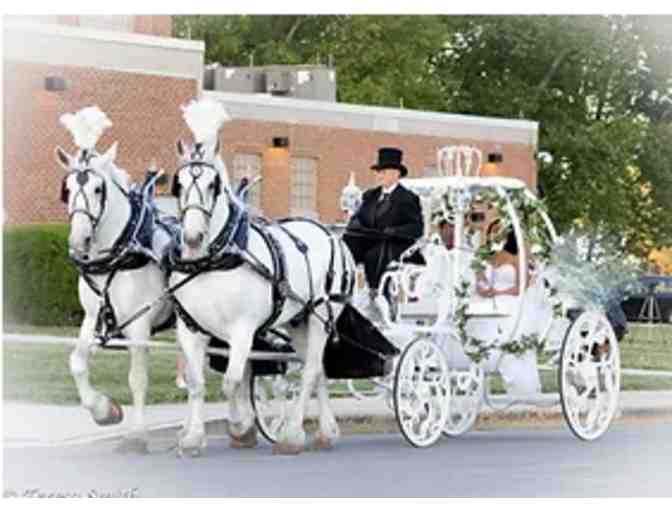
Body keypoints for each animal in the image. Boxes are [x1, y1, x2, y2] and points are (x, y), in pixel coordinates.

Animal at [55, 141, 173, 448]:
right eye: (67, 189)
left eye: (98, 189)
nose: (79, 239)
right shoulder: (92, 317)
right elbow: (77, 363)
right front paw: (104, 410)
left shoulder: (139, 324)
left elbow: (138, 378)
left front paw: (137, 434)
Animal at [171, 138, 354, 454]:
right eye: (179, 183)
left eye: (212, 184)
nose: (193, 238)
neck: (213, 262)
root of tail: (332, 235)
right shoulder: (191, 329)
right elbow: (197, 384)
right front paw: (193, 437)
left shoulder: (242, 329)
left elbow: (231, 382)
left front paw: (240, 426)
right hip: (299, 321)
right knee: (317, 370)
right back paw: (326, 432)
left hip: (322, 317)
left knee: (309, 372)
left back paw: (292, 434)